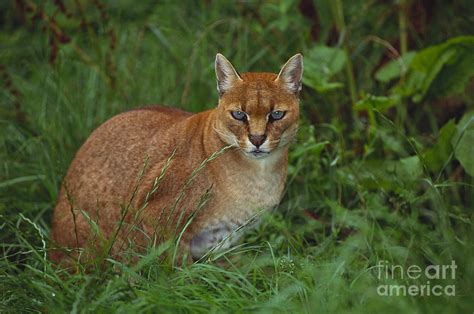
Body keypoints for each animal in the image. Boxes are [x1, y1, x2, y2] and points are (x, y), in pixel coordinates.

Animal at [50, 52, 304, 264]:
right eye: (239, 115)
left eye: (276, 114)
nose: (257, 139)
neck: (259, 174)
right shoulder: (159, 221)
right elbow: (178, 272)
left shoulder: (222, 242)